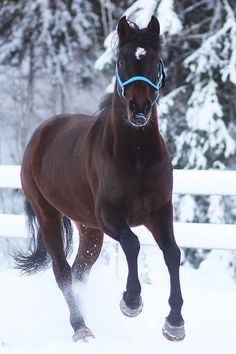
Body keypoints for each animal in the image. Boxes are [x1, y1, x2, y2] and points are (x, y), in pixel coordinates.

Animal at [13, 15, 185, 342]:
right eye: (122, 60)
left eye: (155, 61)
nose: (140, 109)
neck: (137, 157)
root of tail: (40, 133)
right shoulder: (110, 216)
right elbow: (132, 244)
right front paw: (131, 301)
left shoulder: (160, 211)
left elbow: (172, 253)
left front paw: (174, 323)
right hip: (49, 216)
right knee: (63, 272)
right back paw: (80, 327)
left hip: (89, 228)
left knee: (80, 270)